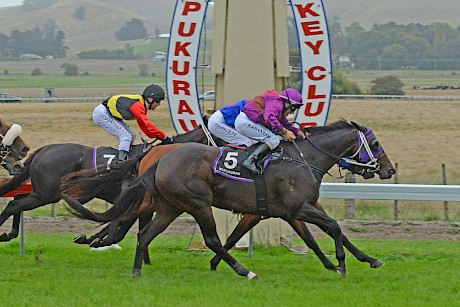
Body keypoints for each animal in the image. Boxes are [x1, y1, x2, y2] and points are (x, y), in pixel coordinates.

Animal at [63, 121, 396, 280]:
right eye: (375, 143)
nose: (390, 169)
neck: (303, 159)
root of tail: (159, 159)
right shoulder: (297, 208)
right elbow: (334, 228)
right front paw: (341, 265)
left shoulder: (293, 210)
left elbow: (318, 237)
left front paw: (362, 260)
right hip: (198, 204)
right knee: (210, 239)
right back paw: (245, 271)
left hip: (171, 207)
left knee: (144, 234)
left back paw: (134, 269)